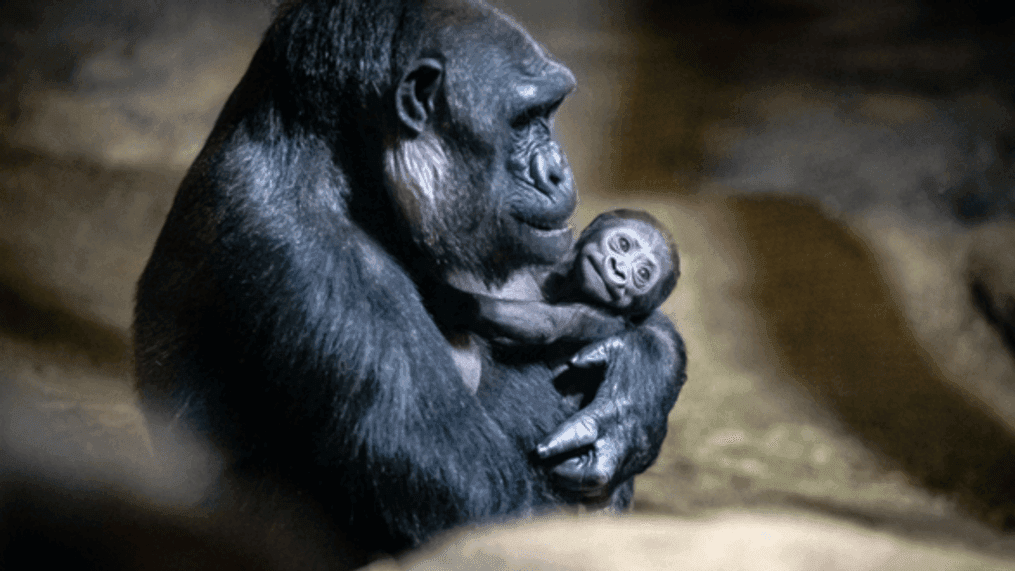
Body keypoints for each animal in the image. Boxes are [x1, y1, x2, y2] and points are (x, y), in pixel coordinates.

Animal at [134, 0, 686, 555]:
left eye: (547, 114)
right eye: (524, 119)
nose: (556, 170)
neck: (355, 178)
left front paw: (637, 386)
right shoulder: (306, 253)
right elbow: (477, 501)